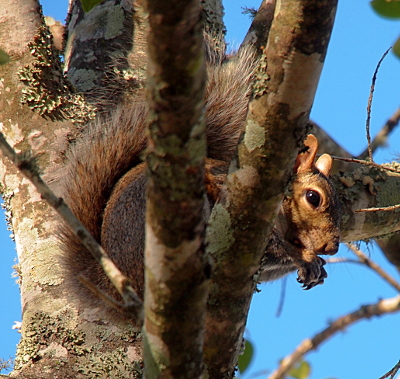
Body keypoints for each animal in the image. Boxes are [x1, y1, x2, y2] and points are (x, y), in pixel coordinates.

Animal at [53, 41, 340, 318]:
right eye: (313, 197)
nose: (331, 248)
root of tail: (121, 291)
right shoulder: (235, 212)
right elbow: (275, 247)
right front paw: (305, 257)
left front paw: (316, 267)